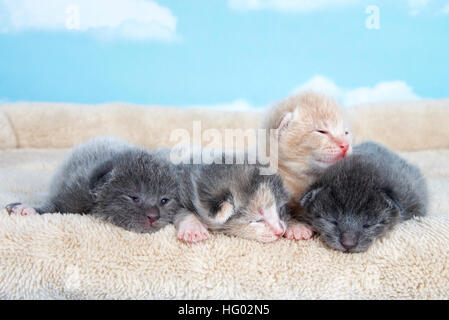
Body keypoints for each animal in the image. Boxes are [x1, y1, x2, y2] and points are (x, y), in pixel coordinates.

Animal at [4, 136, 180, 234]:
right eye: (134, 197)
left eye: (164, 200)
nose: (154, 216)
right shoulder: (76, 192)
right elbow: (55, 206)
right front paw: (28, 208)